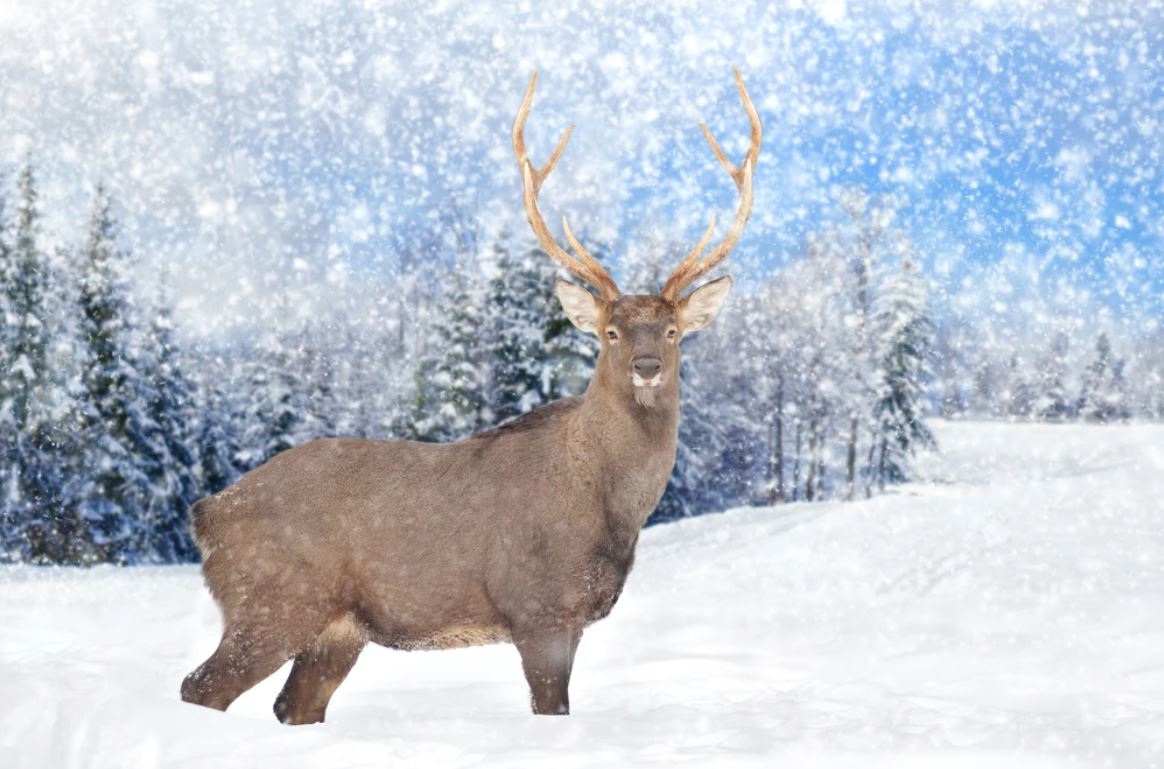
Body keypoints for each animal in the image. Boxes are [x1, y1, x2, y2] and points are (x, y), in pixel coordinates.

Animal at [180, 68, 761, 723]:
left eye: (672, 330)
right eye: (610, 331)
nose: (646, 366)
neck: (609, 505)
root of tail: (209, 514)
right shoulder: (537, 605)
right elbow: (551, 708)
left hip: (338, 629)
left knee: (291, 706)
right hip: (272, 599)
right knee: (201, 688)